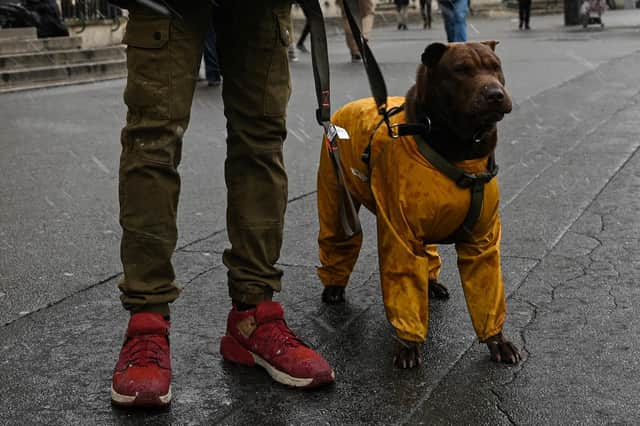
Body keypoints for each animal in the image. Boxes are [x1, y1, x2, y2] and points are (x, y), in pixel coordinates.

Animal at [316, 42, 520, 370]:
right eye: (461, 70)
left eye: (495, 66)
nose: (495, 93)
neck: (460, 151)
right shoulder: (400, 233)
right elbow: (404, 284)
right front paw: (408, 345)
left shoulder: (483, 241)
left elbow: (488, 290)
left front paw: (497, 340)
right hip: (335, 194)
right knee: (337, 236)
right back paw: (334, 286)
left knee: (429, 256)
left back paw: (432, 284)